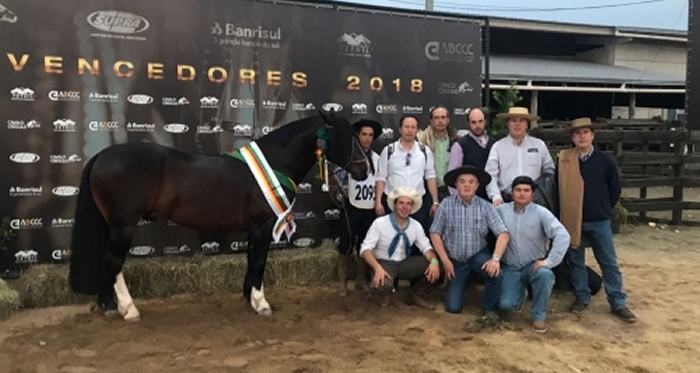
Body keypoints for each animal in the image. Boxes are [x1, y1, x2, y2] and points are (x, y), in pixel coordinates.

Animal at [68, 109, 370, 318]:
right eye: (344, 138)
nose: (364, 170)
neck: (274, 163)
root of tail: (101, 157)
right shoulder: (263, 226)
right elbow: (259, 261)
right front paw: (261, 304)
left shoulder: (253, 228)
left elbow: (250, 260)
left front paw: (249, 297)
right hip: (123, 226)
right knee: (113, 262)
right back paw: (127, 309)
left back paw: (109, 305)